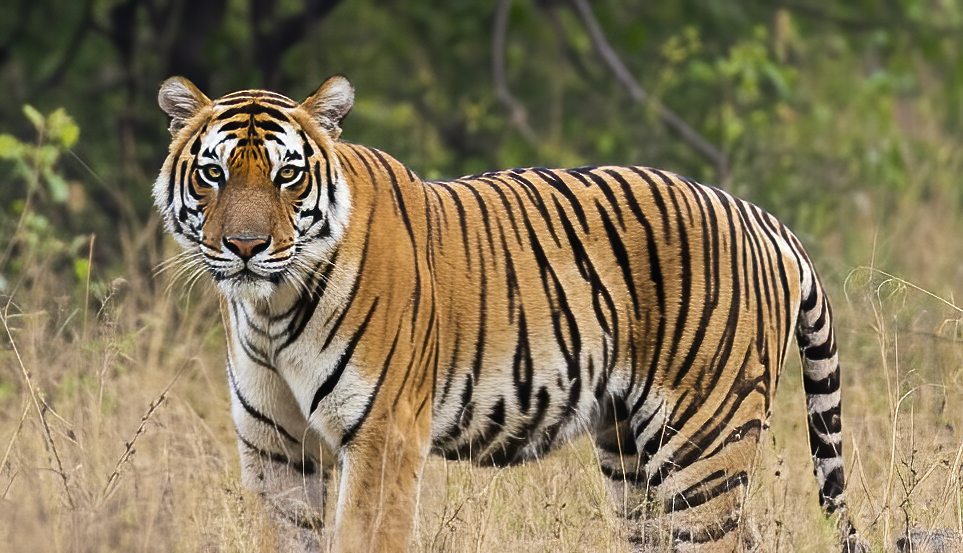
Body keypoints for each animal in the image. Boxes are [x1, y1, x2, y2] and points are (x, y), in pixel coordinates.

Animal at [154, 74, 854, 552]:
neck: (270, 308)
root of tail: (761, 215)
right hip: (631, 455)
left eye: (288, 175)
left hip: (705, 443)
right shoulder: (275, 450)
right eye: (213, 174)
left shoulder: (382, 436)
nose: (245, 246)